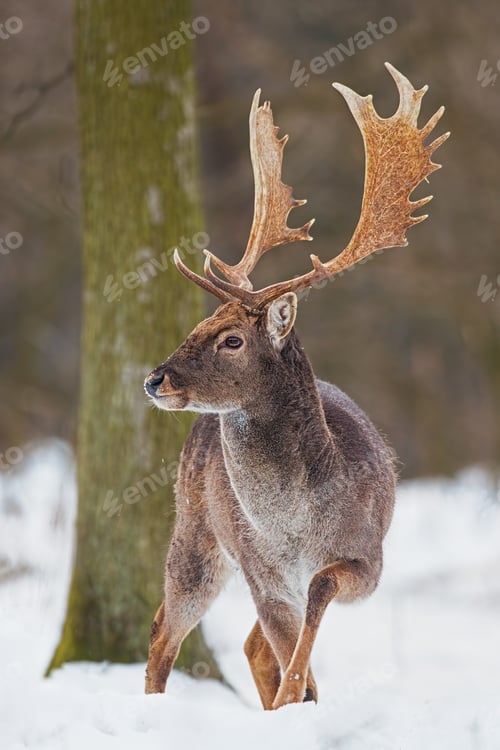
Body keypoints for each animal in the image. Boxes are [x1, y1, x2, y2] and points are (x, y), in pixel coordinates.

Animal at [143, 63, 448, 710]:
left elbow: (316, 602)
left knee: (244, 643)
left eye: (232, 339)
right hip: (197, 531)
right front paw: (295, 698)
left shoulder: (366, 559)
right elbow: (293, 652)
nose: (154, 379)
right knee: (164, 630)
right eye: (198, 324)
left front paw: (292, 700)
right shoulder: (264, 574)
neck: (293, 527)